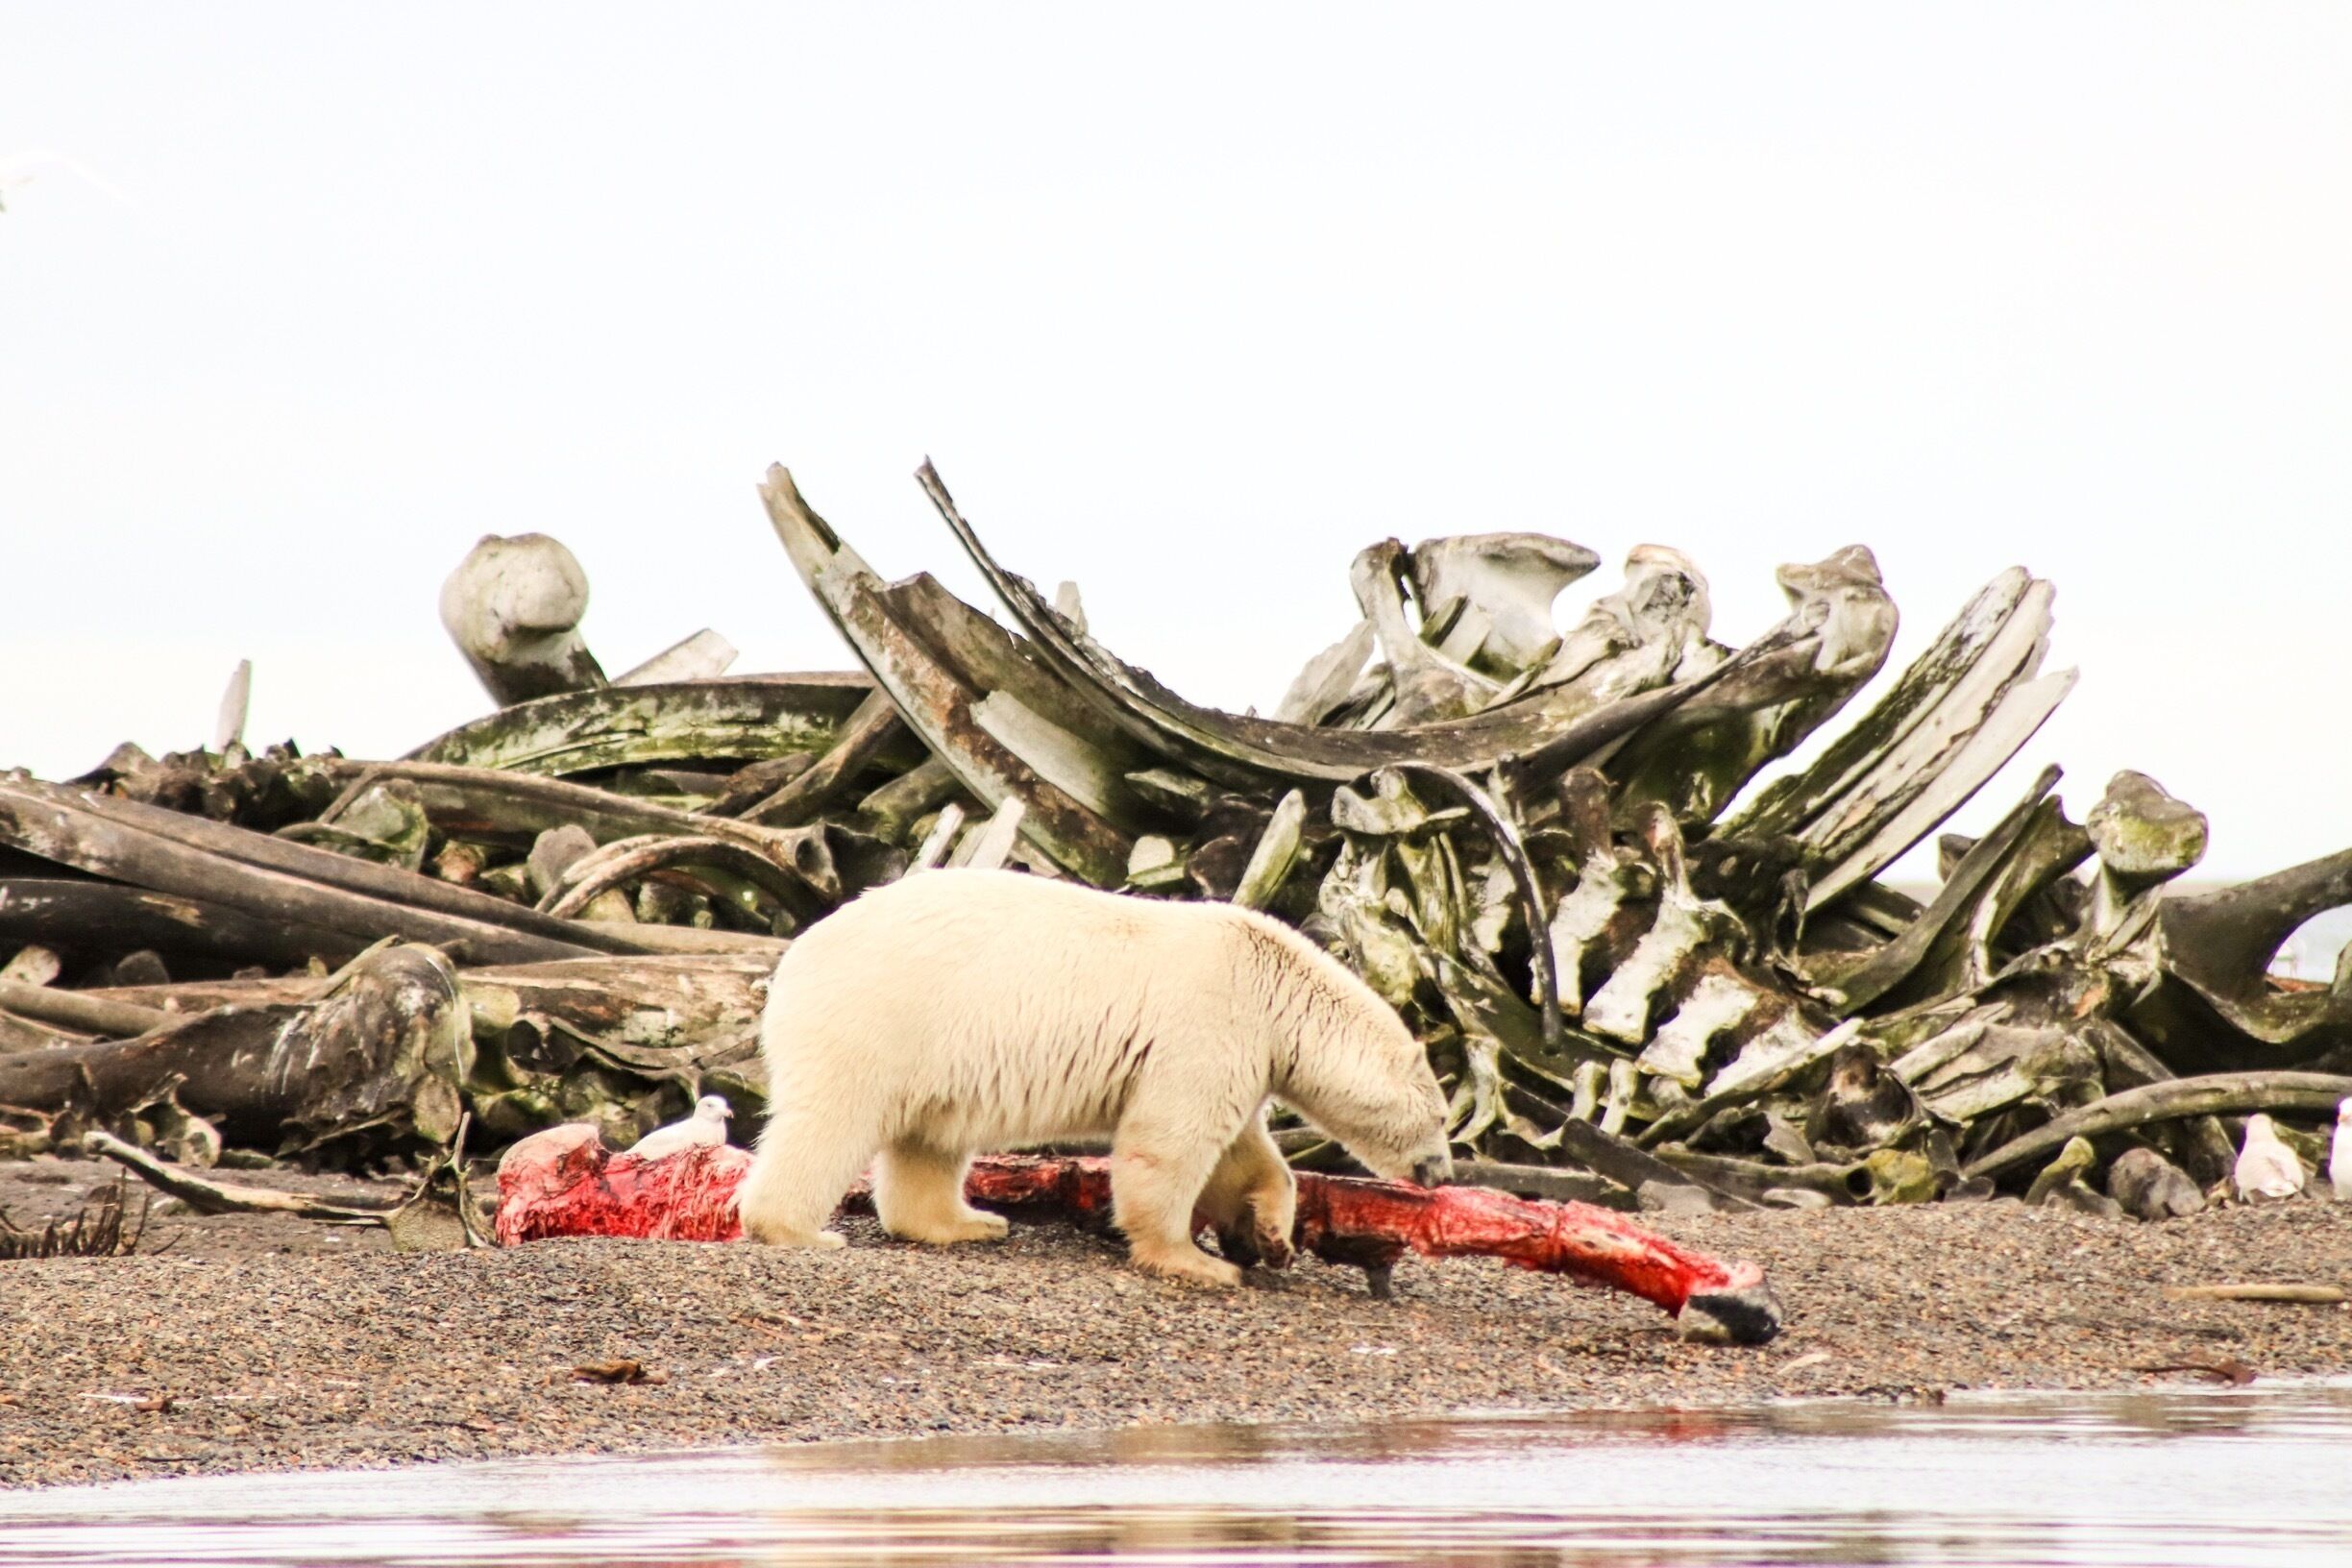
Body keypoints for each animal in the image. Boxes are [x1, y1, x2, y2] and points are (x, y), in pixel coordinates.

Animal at [734, 868, 1454, 1287]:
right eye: (1443, 1116)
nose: (1443, 1171)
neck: (1277, 988)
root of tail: (794, 957)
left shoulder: (1240, 1052)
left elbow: (1241, 1153)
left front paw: (1271, 1236)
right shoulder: (1210, 1023)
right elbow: (1170, 1143)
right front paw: (1197, 1261)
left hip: (931, 1049)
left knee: (928, 1143)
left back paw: (967, 1222)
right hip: (880, 1015)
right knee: (831, 1121)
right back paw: (798, 1229)